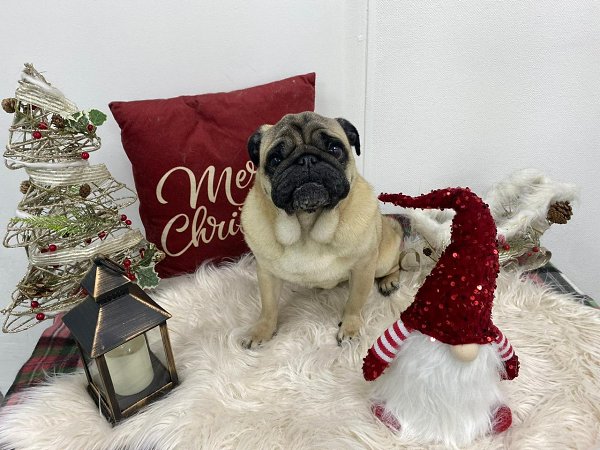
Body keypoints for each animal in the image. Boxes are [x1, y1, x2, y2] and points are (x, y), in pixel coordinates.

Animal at [240, 112, 403, 348]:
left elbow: (355, 302)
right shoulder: (266, 272)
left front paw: (350, 328)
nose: (306, 160)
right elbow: (268, 307)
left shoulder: (363, 267)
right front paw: (261, 331)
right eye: (275, 159)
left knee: (395, 263)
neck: (307, 225)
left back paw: (389, 281)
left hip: (381, 259)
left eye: (335, 149)